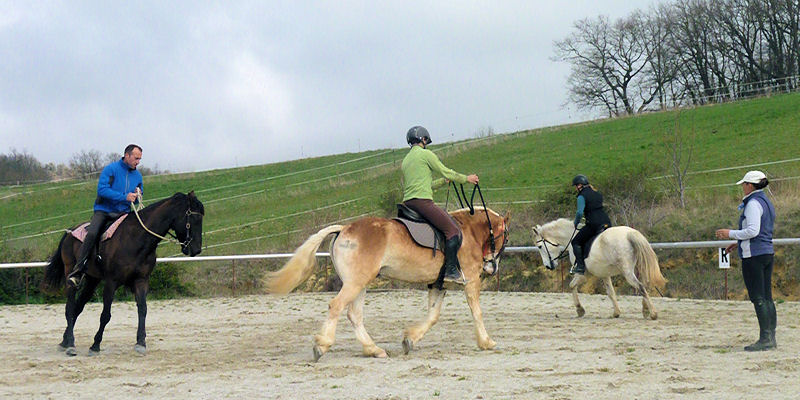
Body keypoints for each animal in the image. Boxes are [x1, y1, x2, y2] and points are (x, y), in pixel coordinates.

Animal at [41, 191, 205, 356]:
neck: (136, 238)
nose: (196, 249)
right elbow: (105, 315)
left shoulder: (141, 280)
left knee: (78, 307)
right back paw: (70, 344)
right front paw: (95, 345)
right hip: (71, 273)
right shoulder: (111, 282)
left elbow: (143, 309)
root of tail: (70, 232)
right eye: (194, 219)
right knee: (69, 307)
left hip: (93, 280)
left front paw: (141, 343)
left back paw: (64, 341)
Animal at [266, 208, 510, 360]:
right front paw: (486, 342)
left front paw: (410, 340)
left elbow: (432, 316)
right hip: (356, 283)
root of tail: (344, 229)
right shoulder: (471, 281)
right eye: (505, 238)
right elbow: (477, 312)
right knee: (336, 306)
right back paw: (322, 346)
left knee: (354, 315)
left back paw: (373, 349)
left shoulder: (438, 285)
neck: (469, 232)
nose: (492, 268)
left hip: (359, 284)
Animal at [536, 217, 664, 320]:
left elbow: (572, 285)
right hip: (639, 267)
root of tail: (630, 233)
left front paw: (580, 310)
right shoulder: (604, 274)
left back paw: (653, 314)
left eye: (540, 246)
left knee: (641, 287)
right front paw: (616, 313)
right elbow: (610, 292)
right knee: (646, 284)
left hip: (627, 271)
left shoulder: (582, 274)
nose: (548, 266)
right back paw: (645, 310)